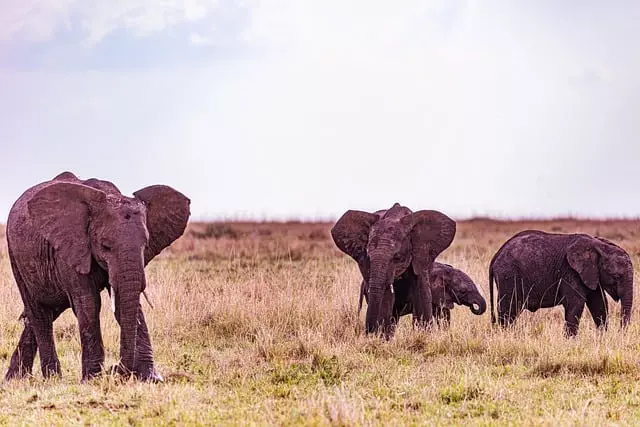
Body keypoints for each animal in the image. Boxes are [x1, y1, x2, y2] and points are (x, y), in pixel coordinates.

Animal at [4, 172, 190, 382]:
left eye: (146, 244)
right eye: (105, 246)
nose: (116, 369)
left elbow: (124, 302)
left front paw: (150, 378)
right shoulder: (71, 247)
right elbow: (88, 304)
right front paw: (92, 379)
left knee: (46, 313)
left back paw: (15, 379)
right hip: (15, 256)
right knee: (39, 313)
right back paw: (51, 378)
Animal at [330, 202, 456, 340]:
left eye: (397, 257)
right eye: (368, 256)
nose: (369, 333)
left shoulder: (421, 255)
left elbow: (422, 291)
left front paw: (424, 335)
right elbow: (386, 300)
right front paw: (383, 339)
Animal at [490, 231, 636, 338]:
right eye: (616, 277)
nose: (620, 334)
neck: (600, 246)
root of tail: (497, 254)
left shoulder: (592, 275)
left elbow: (599, 304)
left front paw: (602, 338)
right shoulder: (570, 271)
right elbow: (576, 303)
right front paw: (570, 342)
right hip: (508, 275)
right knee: (508, 309)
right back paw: (507, 336)